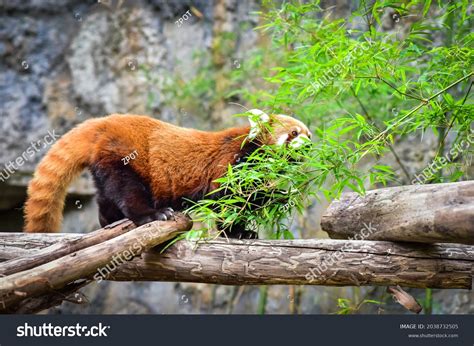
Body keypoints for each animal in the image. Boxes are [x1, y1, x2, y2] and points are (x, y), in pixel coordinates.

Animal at [23, 111, 312, 238]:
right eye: (294, 133)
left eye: (309, 134)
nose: (309, 145)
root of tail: (104, 122)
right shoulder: (231, 164)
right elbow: (227, 200)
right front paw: (237, 232)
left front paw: (283, 193)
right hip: (126, 157)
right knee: (128, 192)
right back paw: (152, 215)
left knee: (106, 195)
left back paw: (109, 221)